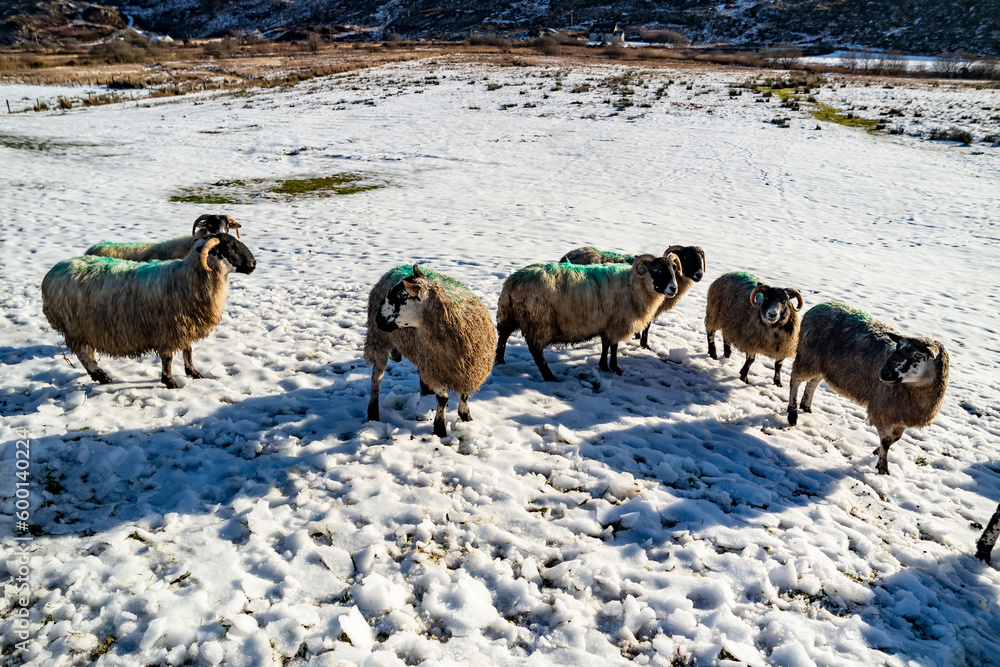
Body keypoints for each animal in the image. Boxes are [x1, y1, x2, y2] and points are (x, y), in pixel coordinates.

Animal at [42, 235, 256, 388]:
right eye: (230, 248)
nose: (254, 263)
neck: (187, 278)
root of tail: (53, 272)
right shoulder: (167, 329)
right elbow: (168, 358)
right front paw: (170, 381)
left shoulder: (184, 325)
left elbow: (188, 350)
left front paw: (193, 372)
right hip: (74, 327)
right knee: (83, 354)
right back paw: (101, 376)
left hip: (87, 327)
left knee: (89, 351)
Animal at [365, 264, 496, 438]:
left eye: (400, 296)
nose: (378, 319)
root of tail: (395, 268)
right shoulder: (435, 370)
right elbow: (443, 398)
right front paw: (440, 428)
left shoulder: (466, 369)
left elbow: (464, 394)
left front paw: (466, 417)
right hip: (379, 340)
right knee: (376, 378)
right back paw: (373, 412)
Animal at [495, 254, 681, 381]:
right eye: (657, 270)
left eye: (673, 269)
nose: (673, 288)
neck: (633, 285)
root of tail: (513, 282)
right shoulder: (616, 322)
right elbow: (613, 346)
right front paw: (614, 368)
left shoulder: (607, 323)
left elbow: (606, 345)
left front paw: (604, 366)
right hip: (539, 321)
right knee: (536, 352)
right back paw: (550, 377)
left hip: (509, 314)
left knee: (503, 337)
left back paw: (500, 361)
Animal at [560, 245, 706, 348]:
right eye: (685, 257)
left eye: (700, 257)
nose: (699, 274)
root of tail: (568, 255)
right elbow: (647, 327)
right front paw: (644, 344)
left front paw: (637, 335)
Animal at [786, 301, 949, 475]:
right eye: (897, 347)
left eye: (918, 355)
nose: (884, 373)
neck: (915, 388)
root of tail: (819, 306)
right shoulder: (883, 409)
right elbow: (886, 441)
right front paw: (883, 468)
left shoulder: (902, 415)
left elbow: (895, 439)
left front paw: (877, 452)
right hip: (808, 356)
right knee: (795, 380)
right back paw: (792, 413)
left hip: (822, 364)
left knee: (813, 383)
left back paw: (806, 405)